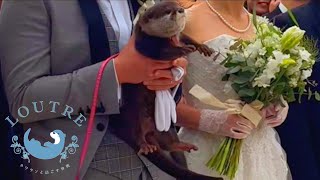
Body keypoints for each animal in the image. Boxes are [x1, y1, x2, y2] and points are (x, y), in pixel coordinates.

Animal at [109, 1, 221, 180]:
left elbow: (188, 38)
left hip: (165, 126)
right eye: (168, 11)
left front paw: (202, 46)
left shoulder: (180, 36)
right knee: (136, 134)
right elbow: (164, 52)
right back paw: (144, 145)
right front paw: (184, 50)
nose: (181, 9)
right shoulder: (146, 44)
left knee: (168, 144)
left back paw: (182, 145)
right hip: (133, 115)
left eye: (176, 5)